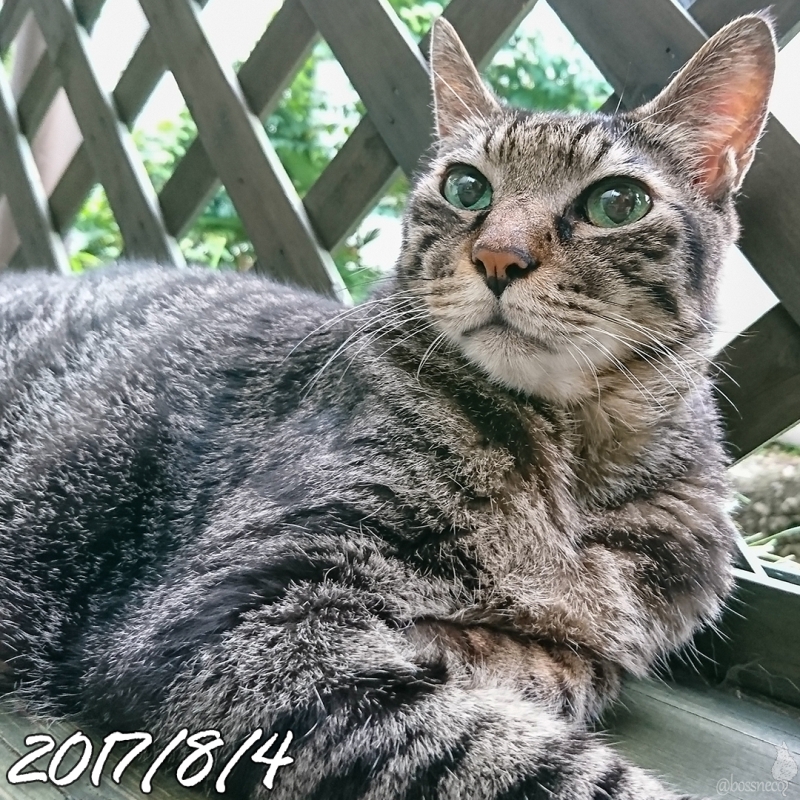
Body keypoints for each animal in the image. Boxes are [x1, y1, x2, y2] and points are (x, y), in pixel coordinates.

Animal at [0, 12, 776, 800]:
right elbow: (516, 757)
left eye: (617, 203)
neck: (573, 466)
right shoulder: (228, 615)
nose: (499, 257)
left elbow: (566, 668)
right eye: (466, 187)